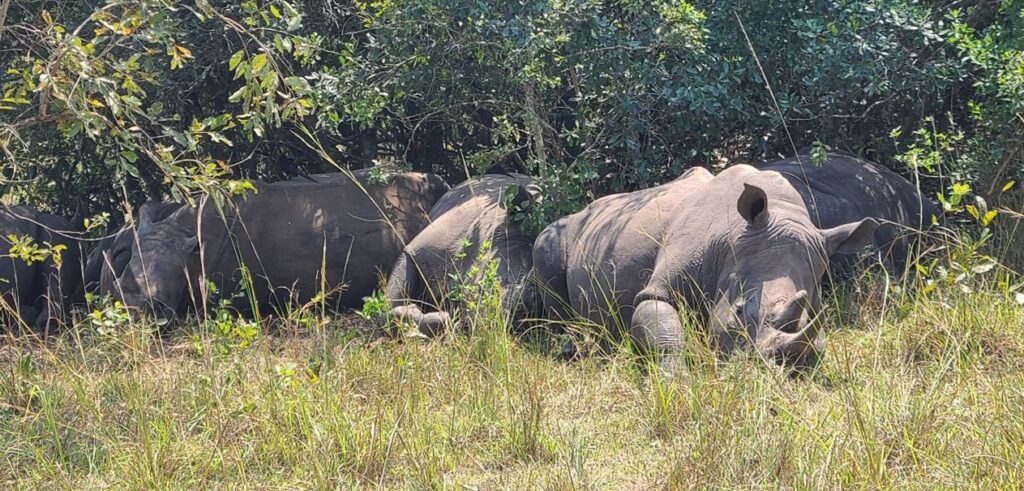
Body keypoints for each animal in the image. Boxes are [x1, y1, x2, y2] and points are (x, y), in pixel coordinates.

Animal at [532, 165, 880, 370]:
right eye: (738, 310)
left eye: (813, 316)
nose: (763, 367)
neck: (733, 239)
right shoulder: (660, 289)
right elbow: (664, 333)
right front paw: (675, 383)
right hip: (558, 233)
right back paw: (569, 349)